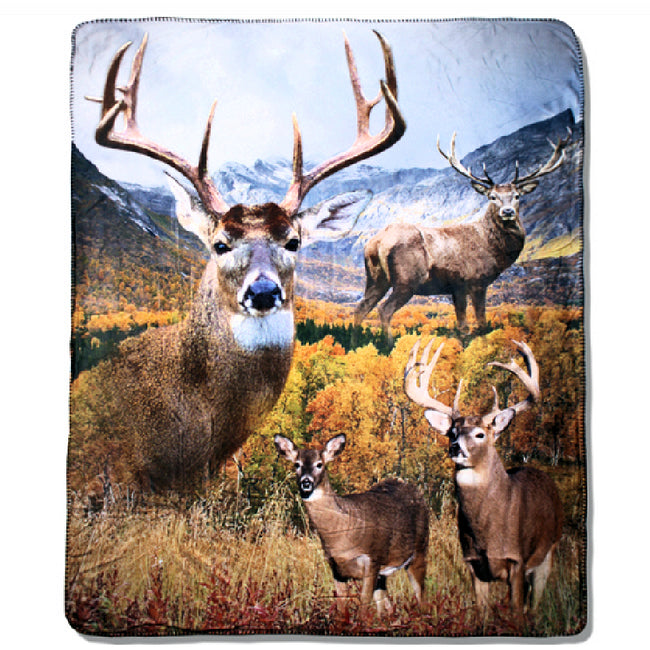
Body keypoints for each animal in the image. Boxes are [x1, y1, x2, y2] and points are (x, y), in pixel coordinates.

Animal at [274, 434, 429, 616]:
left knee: (421, 596)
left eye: (319, 464)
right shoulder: (335, 567)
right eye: (297, 464)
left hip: (419, 550)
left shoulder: (372, 560)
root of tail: (416, 491)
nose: (306, 482)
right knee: (386, 606)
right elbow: (342, 608)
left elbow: (363, 606)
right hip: (384, 572)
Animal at [353, 131, 571, 343]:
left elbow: (462, 325)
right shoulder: (475, 280)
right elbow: (480, 322)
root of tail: (376, 243)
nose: (507, 212)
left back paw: (355, 342)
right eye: (492, 196)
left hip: (376, 278)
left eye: (517, 196)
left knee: (360, 308)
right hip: (407, 279)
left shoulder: (456, 287)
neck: (492, 249)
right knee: (384, 309)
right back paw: (388, 345)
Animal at [403, 338, 563, 620]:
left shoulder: (517, 560)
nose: (455, 447)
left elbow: (516, 613)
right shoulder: (473, 564)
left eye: (480, 434)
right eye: (452, 432)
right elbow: (483, 615)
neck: (487, 531)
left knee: (535, 605)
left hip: (548, 552)